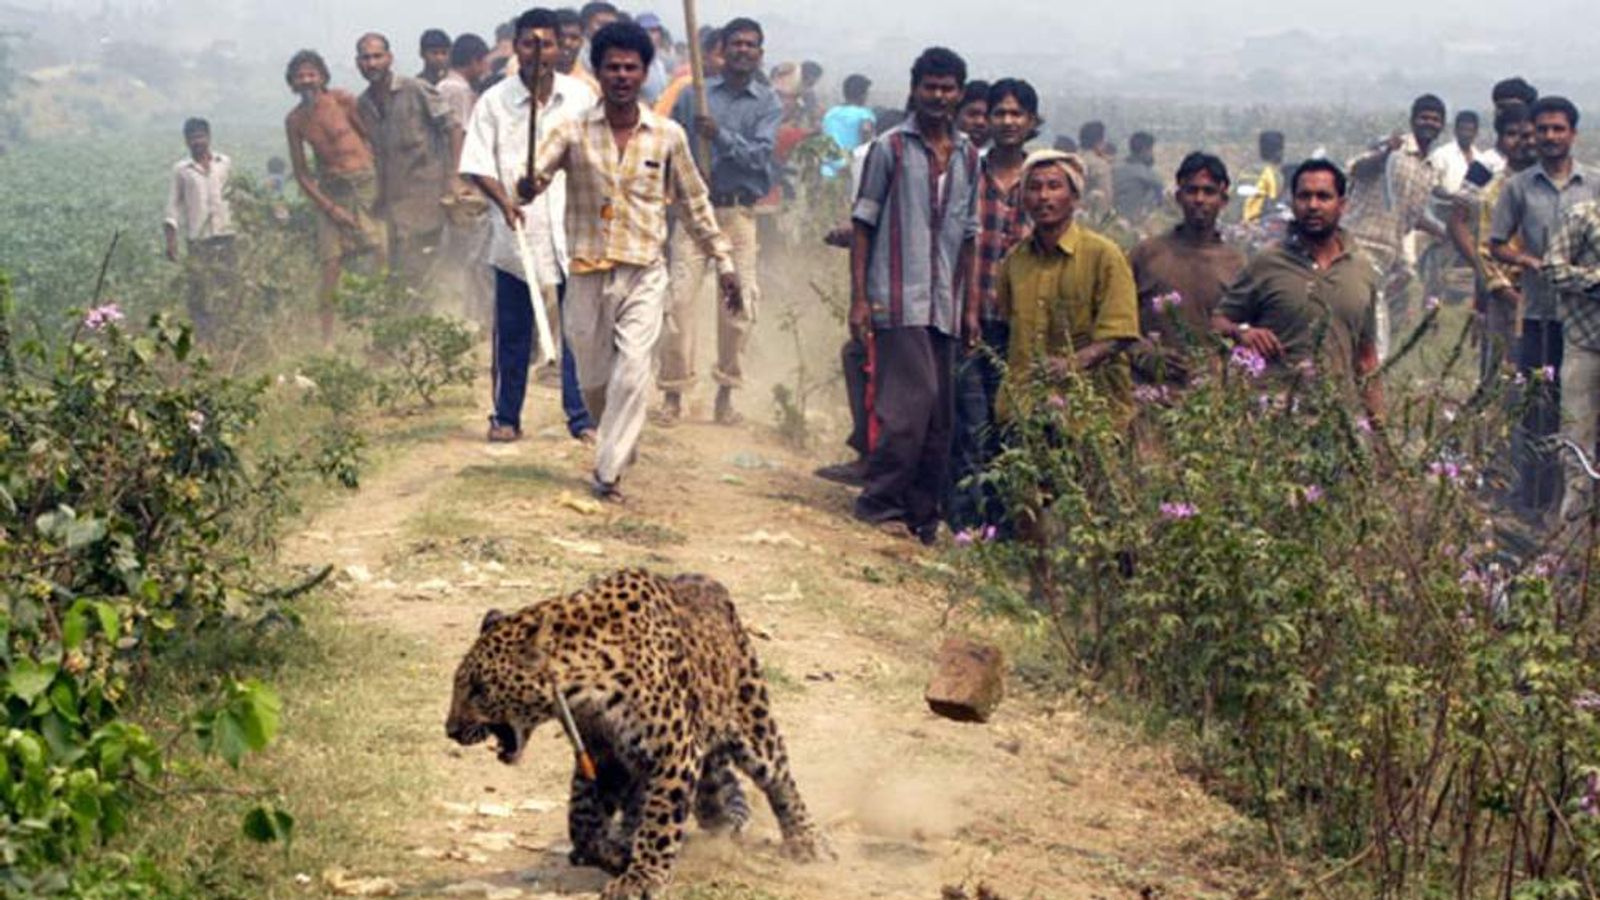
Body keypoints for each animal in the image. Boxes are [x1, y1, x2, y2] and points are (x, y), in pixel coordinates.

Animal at [448, 563, 832, 890]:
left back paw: (808, 842)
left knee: (780, 780)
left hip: (752, 717)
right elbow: (581, 820)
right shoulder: (603, 755)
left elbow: (660, 817)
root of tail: (715, 587)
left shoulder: (674, 750)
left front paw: (641, 878)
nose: (450, 729)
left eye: (479, 689)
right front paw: (612, 855)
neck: (584, 688)